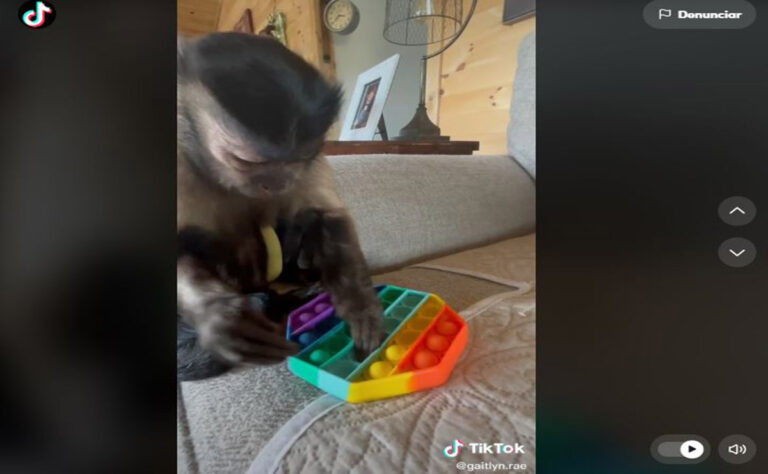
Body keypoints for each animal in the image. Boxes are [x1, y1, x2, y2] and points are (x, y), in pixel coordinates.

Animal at [176, 33, 382, 381]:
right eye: (247, 160)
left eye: (298, 159)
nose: (278, 183)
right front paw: (222, 317)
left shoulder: (311, 163)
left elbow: (328, 216)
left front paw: (360, 306)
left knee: (302, 222)